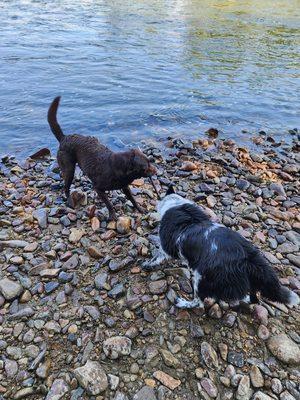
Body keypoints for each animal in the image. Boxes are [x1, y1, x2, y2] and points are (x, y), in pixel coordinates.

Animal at [142, 186, 298, 308]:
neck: (176, 205)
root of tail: (248, 258)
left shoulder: (165, 247)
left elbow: (155, 258)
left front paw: (146, 265)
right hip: (249, 281)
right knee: (253, 298)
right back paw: (244, 299)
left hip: (201, 279)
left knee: (198, 302)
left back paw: (183, 303)